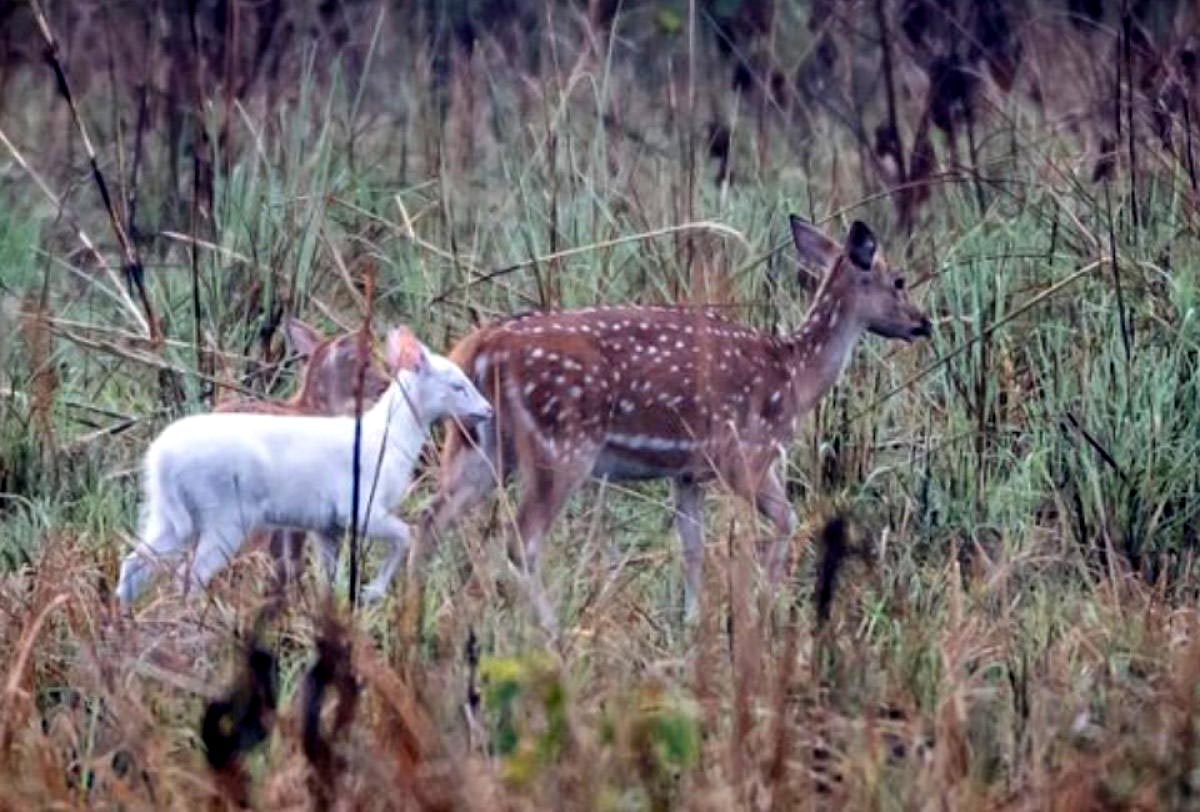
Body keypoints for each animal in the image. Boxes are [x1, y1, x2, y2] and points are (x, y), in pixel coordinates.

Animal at [117, 323, 492, 602]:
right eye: (458, 385)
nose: (488, 409)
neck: (389, 439)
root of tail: (160, 459)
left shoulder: (326, 525)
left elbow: (330, 577)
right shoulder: (359, 507)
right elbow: (406, 534)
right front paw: (373, 592)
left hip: (166, 514)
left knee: (134, 563)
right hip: (226, 513)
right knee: (189, 575)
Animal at [417, 217, 931, 618]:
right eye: (899, 280)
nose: (923, 323)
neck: (794, 375)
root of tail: (481, 348)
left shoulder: (687, 473)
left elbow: (692, 549)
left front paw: (690, 624)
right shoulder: (746, 453)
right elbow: (787, 518)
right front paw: (763, 606)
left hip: (478, 444)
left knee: (430, 519)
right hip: (561, 445)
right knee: (520, 541)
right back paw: (550, 631)